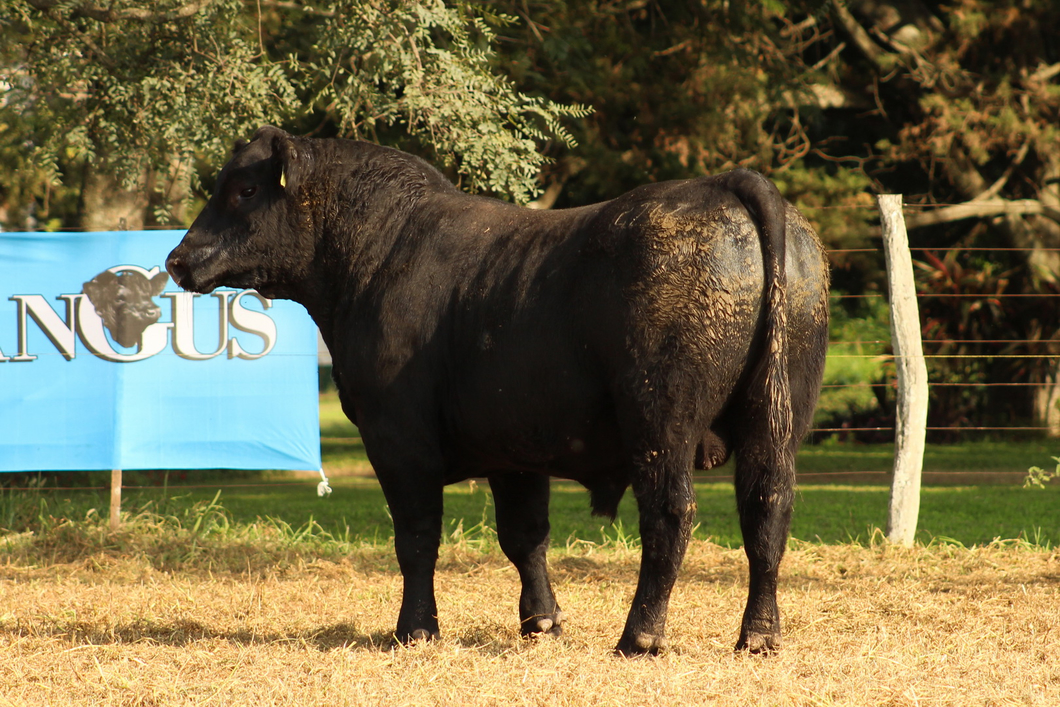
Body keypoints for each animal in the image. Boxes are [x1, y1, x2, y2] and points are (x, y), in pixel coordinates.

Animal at [167, 125, 826, 657]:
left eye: (244, 190)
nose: (177, 259)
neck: (375, 254)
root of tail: (723, 185)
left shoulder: (397, 437)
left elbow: (416, 536)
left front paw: (415, 630)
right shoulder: (515, 446)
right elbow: (524, 536)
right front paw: (542, 622)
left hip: (661, 418)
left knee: (670, 514)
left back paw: (639, 636)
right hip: (778, 418)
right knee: (767, 510)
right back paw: (758, 636)